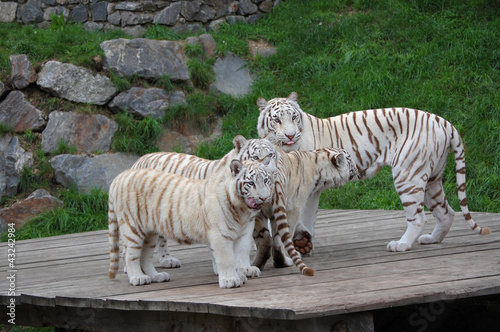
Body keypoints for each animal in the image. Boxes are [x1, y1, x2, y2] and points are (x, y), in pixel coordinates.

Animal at [107, 156, 276, 288]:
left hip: (150, 233)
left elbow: (240, 254)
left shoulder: (242, 233)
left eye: (266, 180)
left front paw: (242, 272)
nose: (264, 197)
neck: (241, 210)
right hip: (133, 228)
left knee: (145, 257)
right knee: (130, 255)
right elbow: (226, 258)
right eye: (251, 183)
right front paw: (230, 280)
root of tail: (120, 176)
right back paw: (137, 278)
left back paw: (156, 276)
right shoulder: (220, 234)